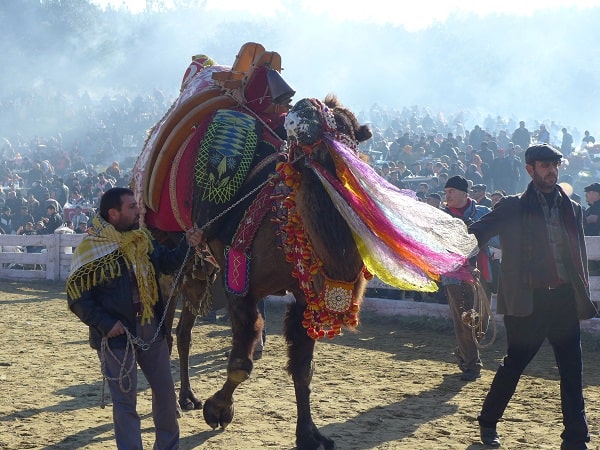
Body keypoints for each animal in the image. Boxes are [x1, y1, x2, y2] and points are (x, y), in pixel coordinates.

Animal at [132, 43, 478, 450]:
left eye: (348, 130)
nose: (304, 109)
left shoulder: (303, 295)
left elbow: (303, 369)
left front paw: (309, 433)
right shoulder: (240, 284)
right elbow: (243, 363)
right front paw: (218, 410)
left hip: (201, 270)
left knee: (184, 330)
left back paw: (186, 396)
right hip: (169, 256)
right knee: (168, 330)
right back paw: (175, 398)